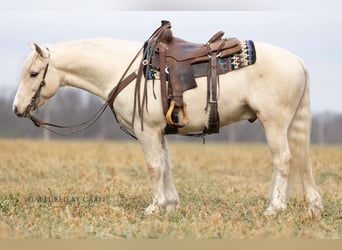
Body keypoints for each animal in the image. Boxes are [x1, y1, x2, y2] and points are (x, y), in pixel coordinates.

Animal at [12, 36, 324, 217]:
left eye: (34, 73)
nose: (16, 108)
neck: (125, 71)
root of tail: (298, 61)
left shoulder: (147, 131)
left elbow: (154, 166)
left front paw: (155, 206)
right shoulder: (159, 131)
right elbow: (166, 164)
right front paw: (171, 204)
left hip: (274, 122)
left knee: (284, 160)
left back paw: (275, 207)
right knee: (302, 160)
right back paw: (312, 205)